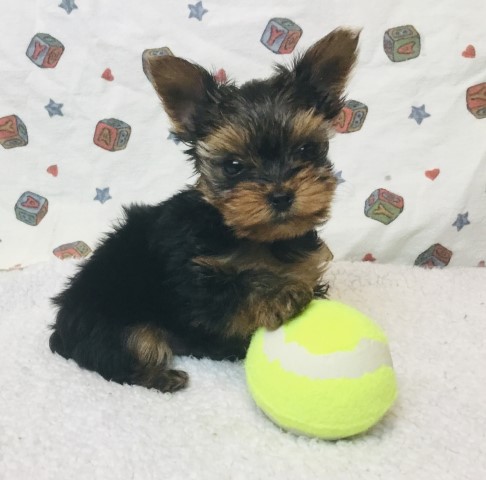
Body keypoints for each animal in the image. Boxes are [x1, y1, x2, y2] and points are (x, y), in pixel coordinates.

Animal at [49, 28, 358, 392]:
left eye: (307, 149)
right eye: (234, 166)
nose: (282, 196)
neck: (253, 237)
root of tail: (61, 326)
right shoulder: (194, 281)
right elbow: (235, 290)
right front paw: (279, 294)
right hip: (113, 319)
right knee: (127, 348)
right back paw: (163, 376)